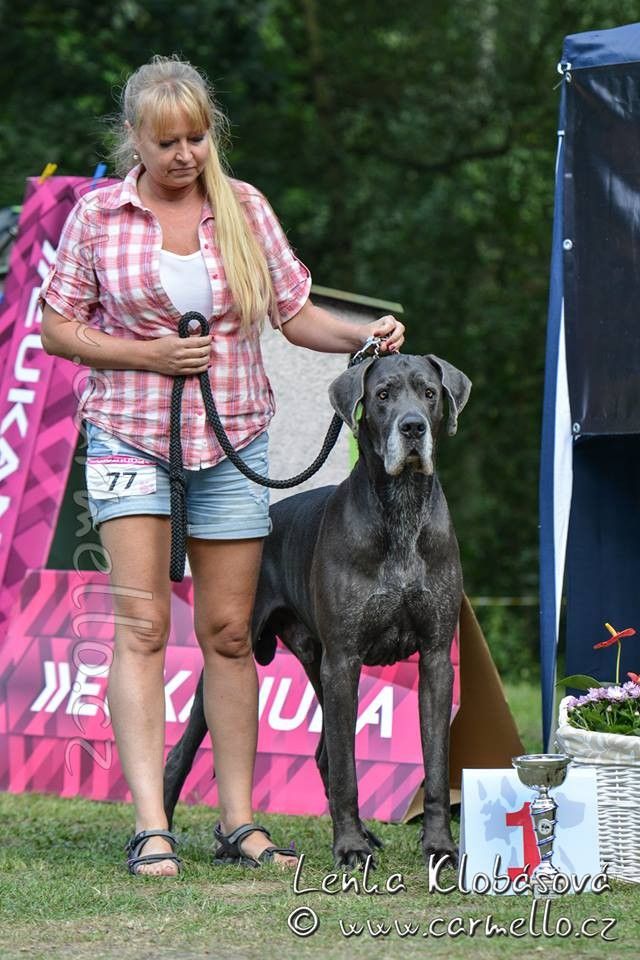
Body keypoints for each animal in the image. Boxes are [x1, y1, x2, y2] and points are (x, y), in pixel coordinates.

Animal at [164, 352, 471, 868]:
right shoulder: (344, 661)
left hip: (315, 663)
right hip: (234, 662)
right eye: (383, 395)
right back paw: (158, 840)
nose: (413, 427)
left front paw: (439, 846)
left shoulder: (433, 659)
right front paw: (348, 849)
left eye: (429, 393)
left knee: (325, 753)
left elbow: (434, 762)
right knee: (179, 756)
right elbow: (348, 770)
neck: (401, 507)